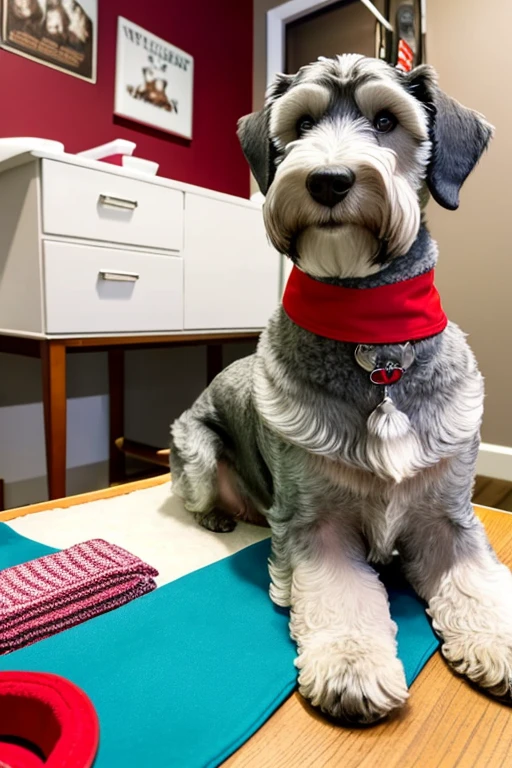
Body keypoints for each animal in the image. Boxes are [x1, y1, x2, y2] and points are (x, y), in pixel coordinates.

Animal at [169, 52, 512, 720]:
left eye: (385, 121)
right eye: (301, 125)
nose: (328, 180)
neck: (372, 341)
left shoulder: (448, 516)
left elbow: (478, 584)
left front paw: (498, 642)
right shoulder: (316, 521)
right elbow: (341, 597)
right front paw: (352, 669)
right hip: (194, 450)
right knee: (198, 496)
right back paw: (219, 518)